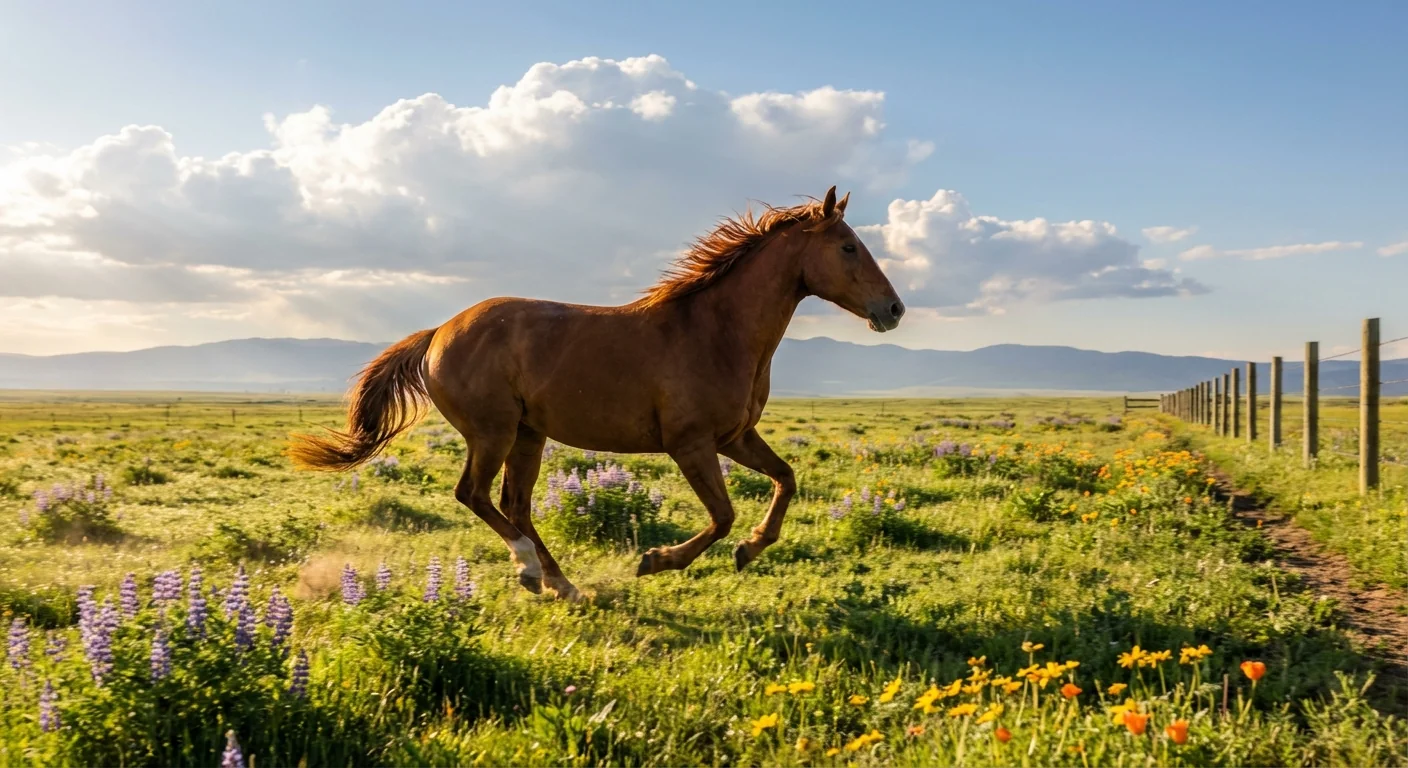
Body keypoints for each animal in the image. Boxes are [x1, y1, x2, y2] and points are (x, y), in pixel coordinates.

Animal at [288, 186, 905, 601]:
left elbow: (785, 480)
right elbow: (723, 515)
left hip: (528, 435)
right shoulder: (691, 444)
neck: (715, 331)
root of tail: (439, 332)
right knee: (476, 495)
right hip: (493, 432)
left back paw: (561, 584)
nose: (894, 309)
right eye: (849, 248)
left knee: (515, 504)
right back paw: (529, 569)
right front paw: (656, 560)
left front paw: (750, 549)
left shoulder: (735, 436)